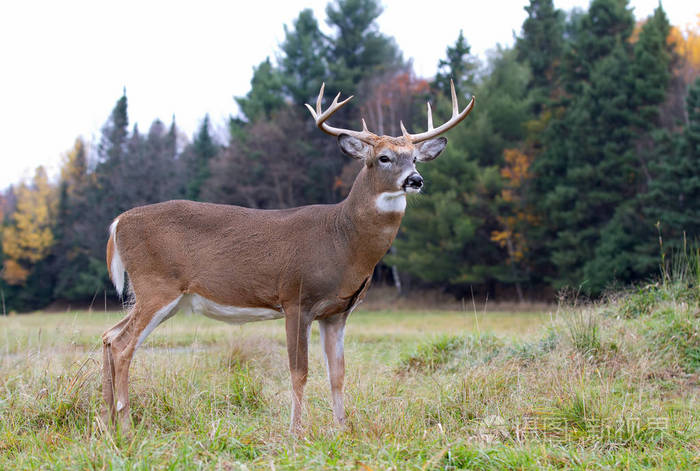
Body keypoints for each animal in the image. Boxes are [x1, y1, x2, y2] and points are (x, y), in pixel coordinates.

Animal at [102, 80, 476, 432]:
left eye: (414, 157)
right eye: (383, 157)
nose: (415, 180)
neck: (342, 240)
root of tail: (118, 222)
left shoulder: (337, 312)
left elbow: (338, 373)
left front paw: (343, 428)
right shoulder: (296, 298)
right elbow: (300, 371)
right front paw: (297, 432)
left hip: (164, 297)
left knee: (109, 336)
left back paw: (108, 422)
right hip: (156, 285)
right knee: (122, 345)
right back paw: (126, 425)